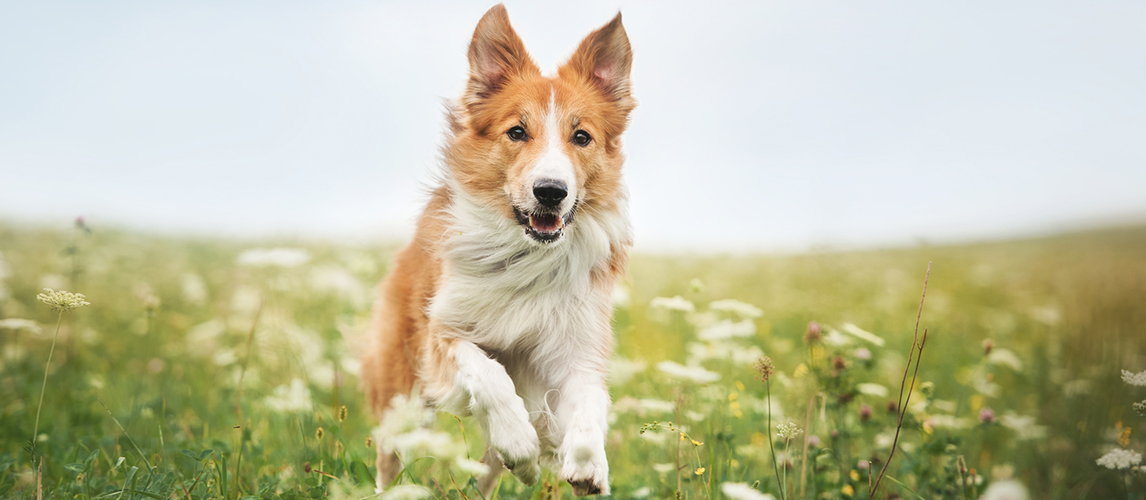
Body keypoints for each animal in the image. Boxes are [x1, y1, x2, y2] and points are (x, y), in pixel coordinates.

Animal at [359, 3, 637, 495]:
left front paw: (588, 464)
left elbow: (590, 400)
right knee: (389, 459)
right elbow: (489, 373)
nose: (551, 191)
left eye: (581, 136)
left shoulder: (575, 348)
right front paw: (521, 441)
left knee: (487, 475)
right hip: (401, 395)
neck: (528, 255)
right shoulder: (443, 335)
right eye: (517, 131)